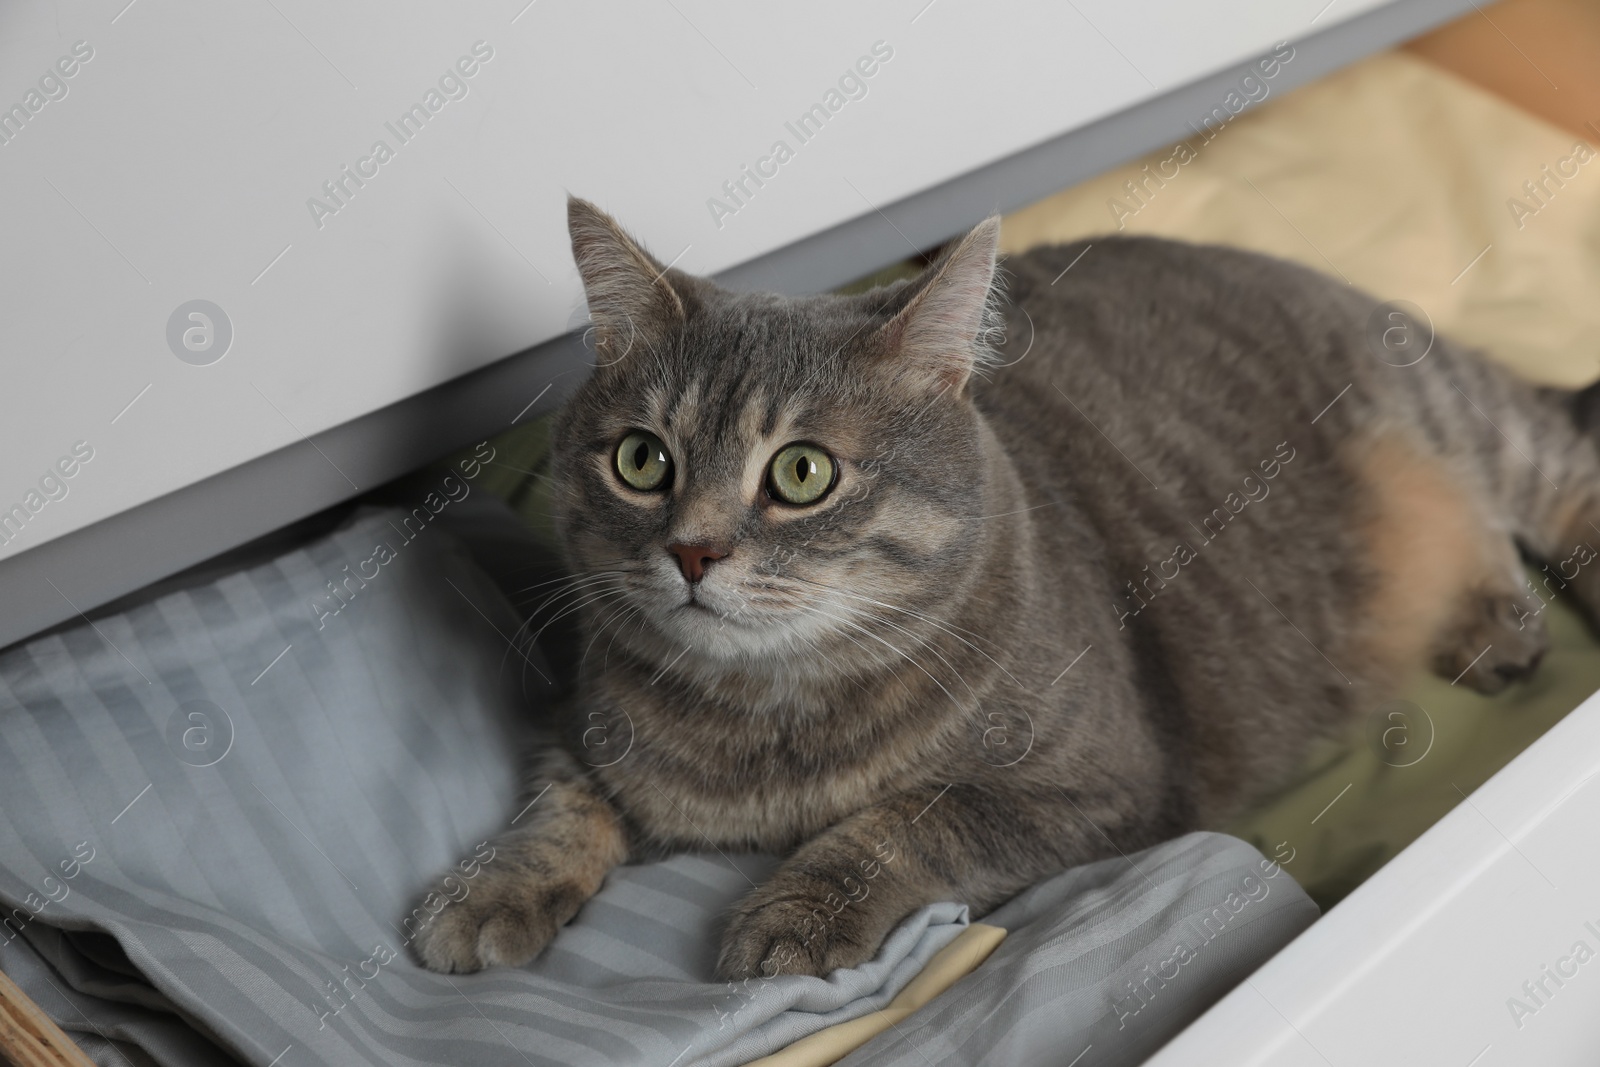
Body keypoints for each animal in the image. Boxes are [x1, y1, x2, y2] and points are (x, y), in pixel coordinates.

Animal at [409, 195, 1587, 979]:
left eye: (802, 473)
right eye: (641, 459)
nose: (693, 552)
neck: (769, 720)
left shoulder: (1098, 790)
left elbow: (910, 819)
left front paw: (797, 907)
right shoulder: (579, 723)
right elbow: (557, 808)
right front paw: (491, 888)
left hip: (1460, 419)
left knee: (1554, 479)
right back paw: (1491, 621)